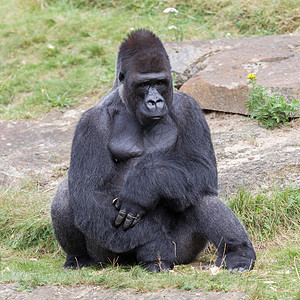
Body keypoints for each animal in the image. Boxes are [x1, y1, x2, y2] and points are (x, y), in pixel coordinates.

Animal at [51, 28, 255, 272]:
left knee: (198, 191)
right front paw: (154, 245)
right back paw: (79, 258)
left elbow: (201, 168)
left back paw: (238, 253)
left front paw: (143, 185)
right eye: (143, 84)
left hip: (182, 252)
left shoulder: (189, 107)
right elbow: (89, 191)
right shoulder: (91, 122)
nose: (155, 101)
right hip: (109, 256)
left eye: (159, 83)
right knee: (66, 194)